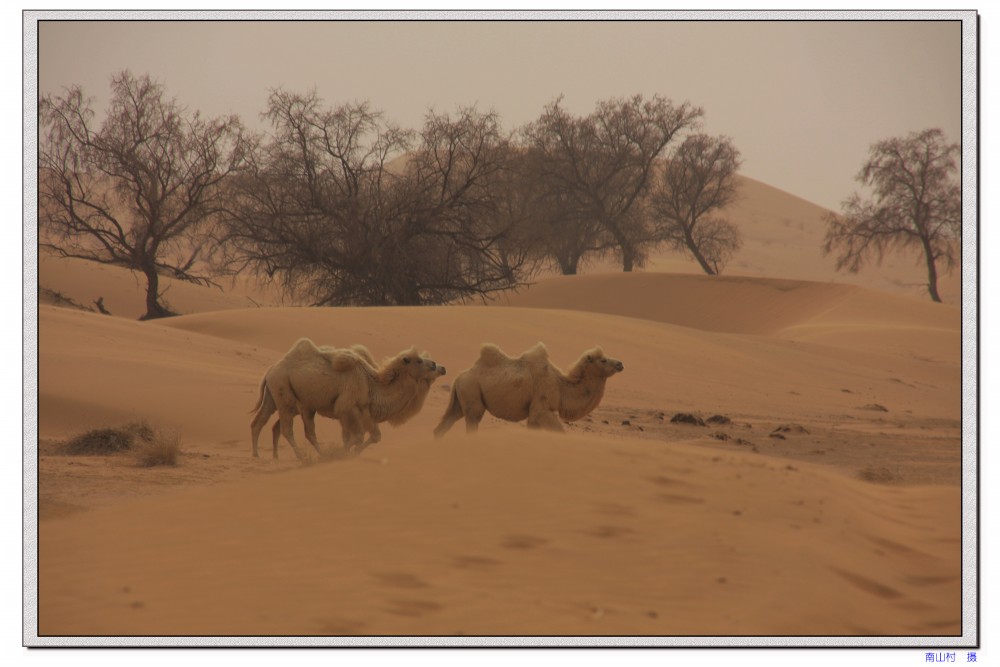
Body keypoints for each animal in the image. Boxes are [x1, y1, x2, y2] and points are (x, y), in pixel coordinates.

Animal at [249, 340, 442, 460]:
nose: (440, 367)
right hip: (284, 392)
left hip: (279, 397)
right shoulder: (348, 408)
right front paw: (341, 453)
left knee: (264, 422)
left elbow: (369, 436)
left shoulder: (362, 412)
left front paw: (351, 453)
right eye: (419, 360)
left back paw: (261, 455)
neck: (371, 384)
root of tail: (271, 369)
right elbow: (357, 436)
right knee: (288, 429)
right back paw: (305, 457)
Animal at [432, 344, 620, 438]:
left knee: (446, 423)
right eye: (603, 360)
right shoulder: (541, 407)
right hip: (471, 392)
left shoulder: (535, 412)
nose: (620, 363)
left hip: (461, 398)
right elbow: (560, 431)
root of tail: (459, 377)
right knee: (473, 420)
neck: (561, 386)